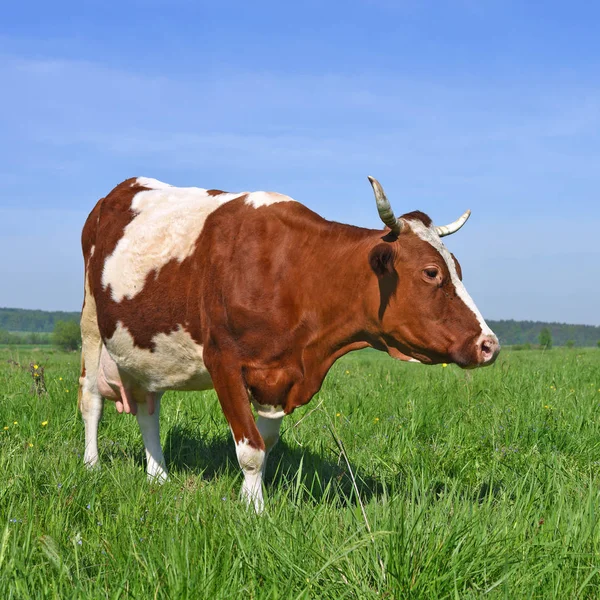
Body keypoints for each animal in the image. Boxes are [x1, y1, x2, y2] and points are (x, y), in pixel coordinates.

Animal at [81, 176, 502, 508]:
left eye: (457, 268)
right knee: (91, 400)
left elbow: (266, 443)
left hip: (144, 350)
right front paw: (255, 513)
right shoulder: (223, 361)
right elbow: (250, 450)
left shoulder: (278, 374)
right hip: (91, 327)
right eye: (431, 273)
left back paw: (158, 476)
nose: (489, 345)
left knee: (148, 409)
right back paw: (91, 465)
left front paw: (248, 497)